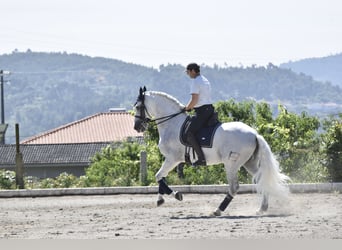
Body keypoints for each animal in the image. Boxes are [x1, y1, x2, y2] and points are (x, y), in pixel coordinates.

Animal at [134, 87, 288, 216]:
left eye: (138, 107)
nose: (137, 127)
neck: (172, 124)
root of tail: (254, 134)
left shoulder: (173, 159)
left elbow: (159, 176)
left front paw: (177, 195)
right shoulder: (172, 160)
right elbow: (161, 177)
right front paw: (160, 199)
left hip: (231, 164)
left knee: (234, 187)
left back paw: (218, 210)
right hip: (248, 162)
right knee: (261, 179)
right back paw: (262, 208)